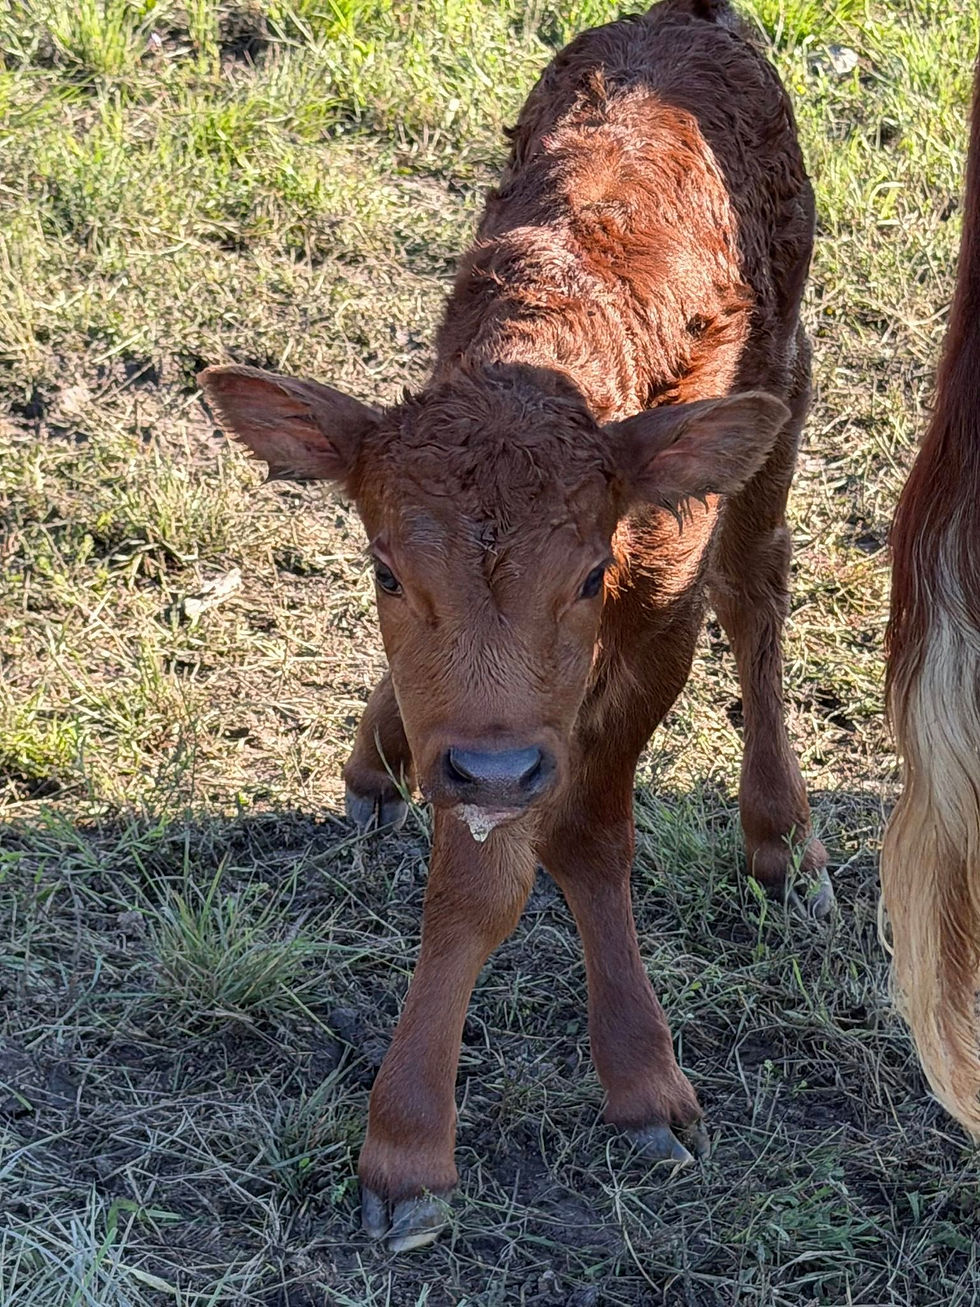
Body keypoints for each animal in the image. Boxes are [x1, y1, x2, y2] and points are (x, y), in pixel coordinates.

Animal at [200, 0, 827, 1252]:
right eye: (383, 566)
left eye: (587, 571)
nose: (490, 768)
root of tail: (687, 17)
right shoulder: (479, 726)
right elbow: (474, 879)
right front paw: (410, 1146)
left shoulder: (654, 610)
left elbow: (586, 826)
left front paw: (640, 1080)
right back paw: (379, 751)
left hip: (782, 386)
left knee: (759, 582)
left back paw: (780, 832)